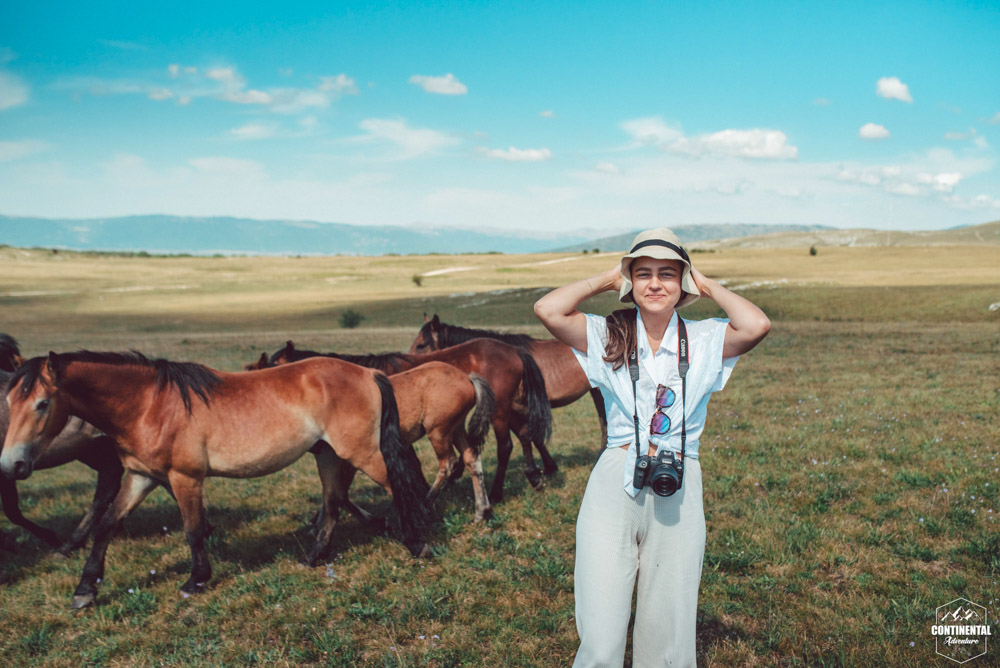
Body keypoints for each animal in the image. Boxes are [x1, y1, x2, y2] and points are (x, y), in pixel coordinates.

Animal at [254, 350, 496, 520]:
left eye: (274, 367)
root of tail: (467, 378)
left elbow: (340, 494)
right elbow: (338, 494)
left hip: (439, 431)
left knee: (449, 463)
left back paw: (428, 505)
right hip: (456, 428)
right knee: (471, 458)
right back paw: (481, 511)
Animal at [262, 336, 552, 504]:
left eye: (275, 366)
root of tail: (514, 350)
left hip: (499, 412)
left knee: (506, 447)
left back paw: (497, 492)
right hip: (507, 408)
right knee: (525, 434)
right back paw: (534, 477)